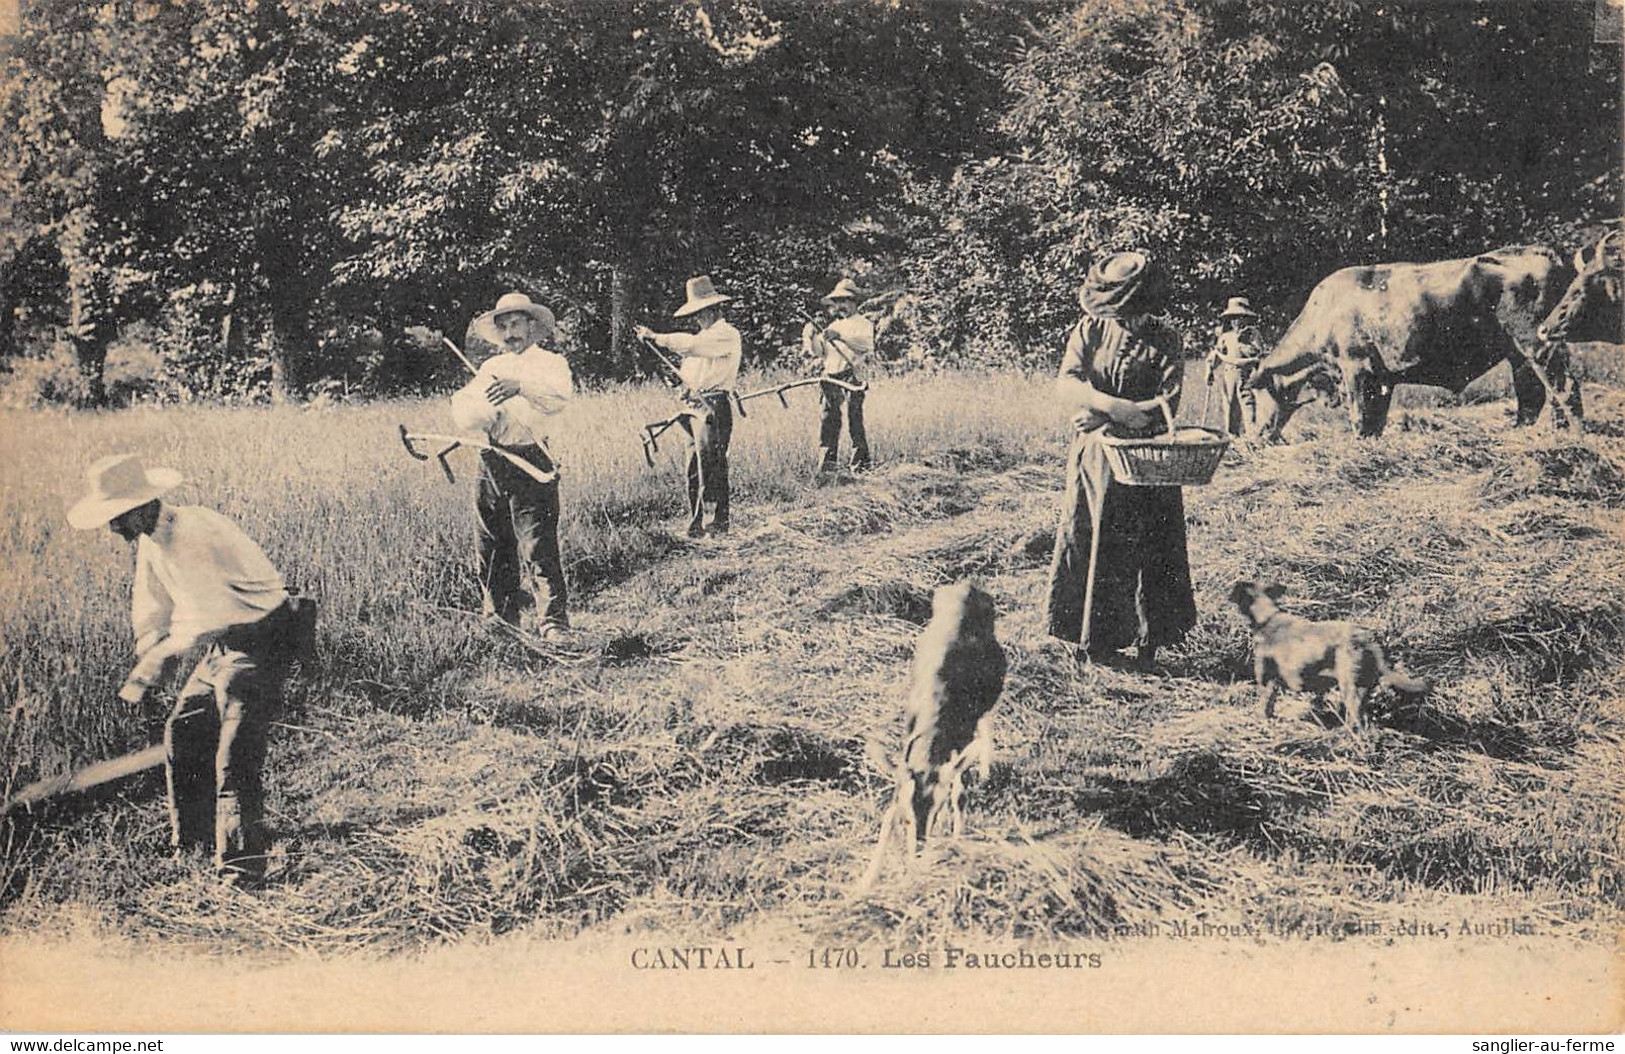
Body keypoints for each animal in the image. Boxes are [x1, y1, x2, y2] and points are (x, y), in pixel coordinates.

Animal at [1248, 246, 1579, 438]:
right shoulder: (1381, 377)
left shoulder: (1355, 368)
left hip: (1535, 342)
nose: (1257, 436)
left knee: (1563, 387)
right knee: (1534, 394)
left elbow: (1359, 417)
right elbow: (1375, 421)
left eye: (1257, 395)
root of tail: (1538, 249)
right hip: (1518, 353)